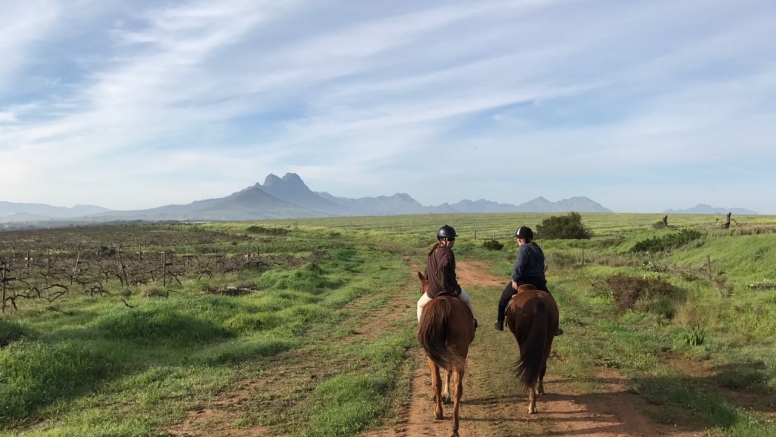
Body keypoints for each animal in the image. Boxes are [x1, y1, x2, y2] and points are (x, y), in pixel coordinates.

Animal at [416, 270, 476, 434]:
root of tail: (444, 301)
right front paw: (446, 396)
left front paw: (444, 396)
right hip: (459, 352)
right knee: (458, 387)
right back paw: (454, 425)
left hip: (434, 354)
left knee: (436, 381)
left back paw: (438, 412)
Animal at [504, 282, 556, 412]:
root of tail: (539, 303)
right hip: (549, 337)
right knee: (542, 363)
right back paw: (540, 389)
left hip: (524, 339)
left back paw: (532, 403)